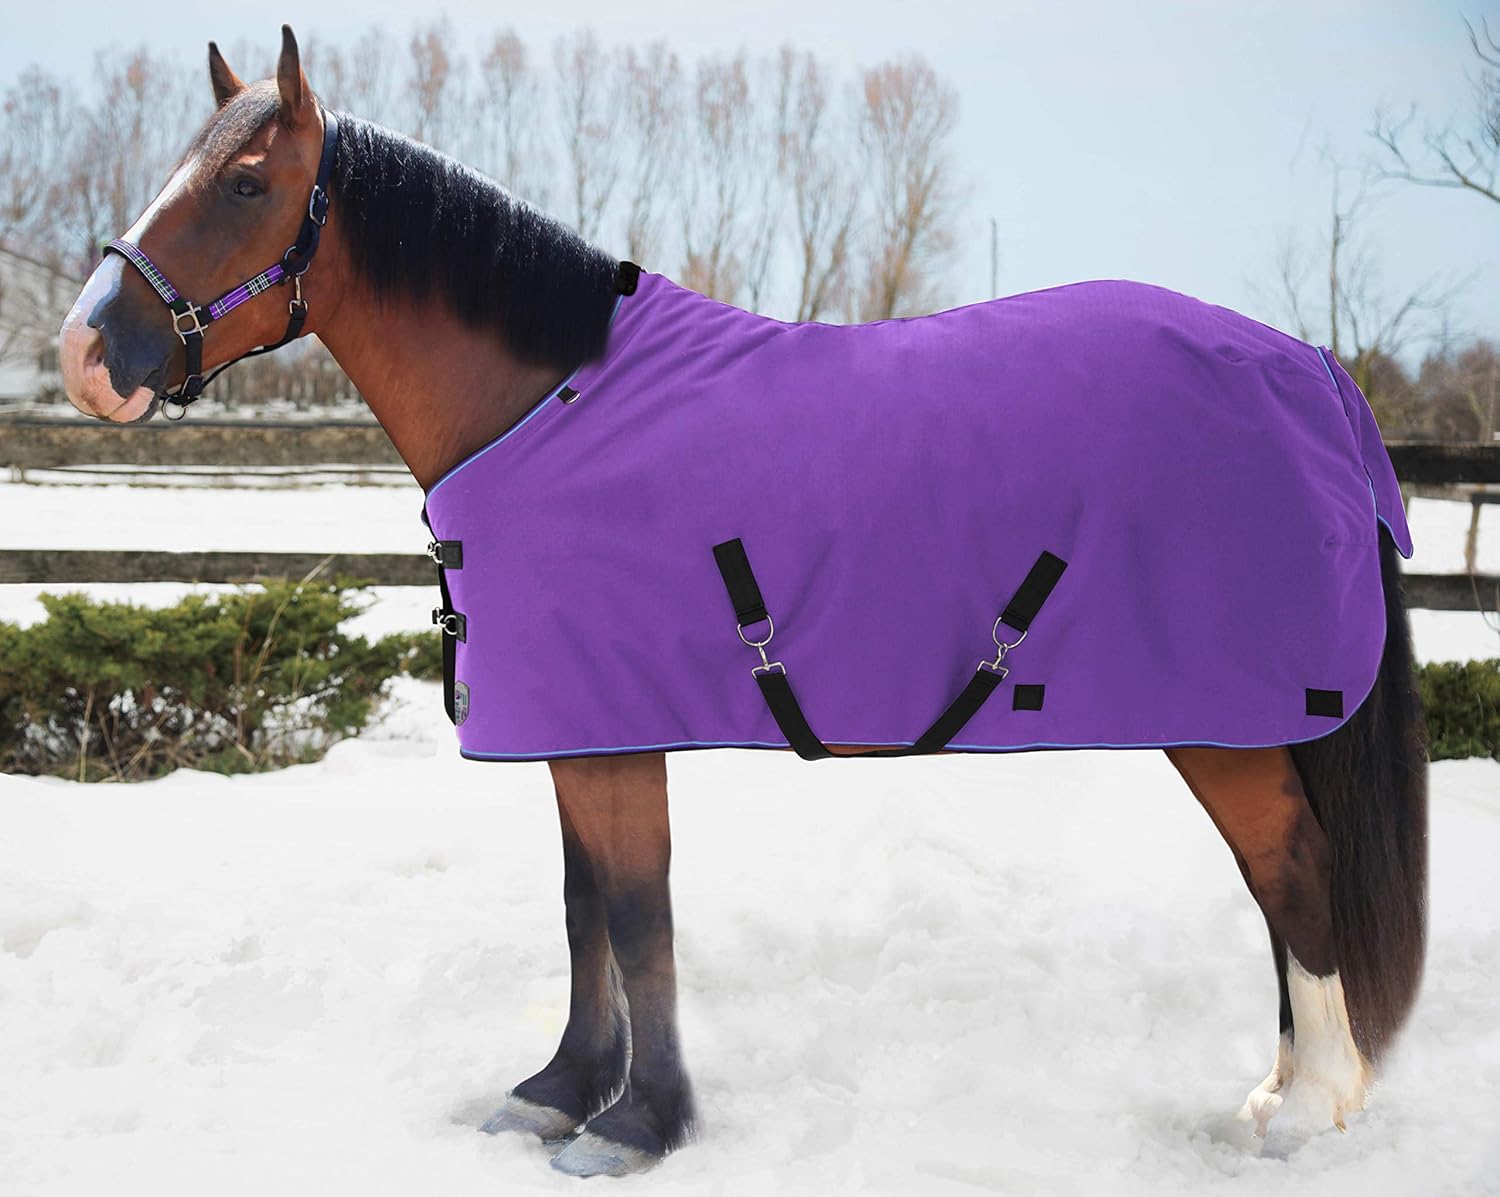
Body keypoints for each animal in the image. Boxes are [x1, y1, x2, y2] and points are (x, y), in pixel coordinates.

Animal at [57, 26, 1427, 1178]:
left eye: (244, 185)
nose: (84, 356)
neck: (550, 408)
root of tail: (1311, 369)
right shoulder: (576, 725)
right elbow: (584, 912)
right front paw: (559, 1092)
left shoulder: (613, 731)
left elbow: (636, 913)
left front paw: (639, 1127)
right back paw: (1287, 1087)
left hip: (1228, 722)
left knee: (1291, 870)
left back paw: (1308, 1107)